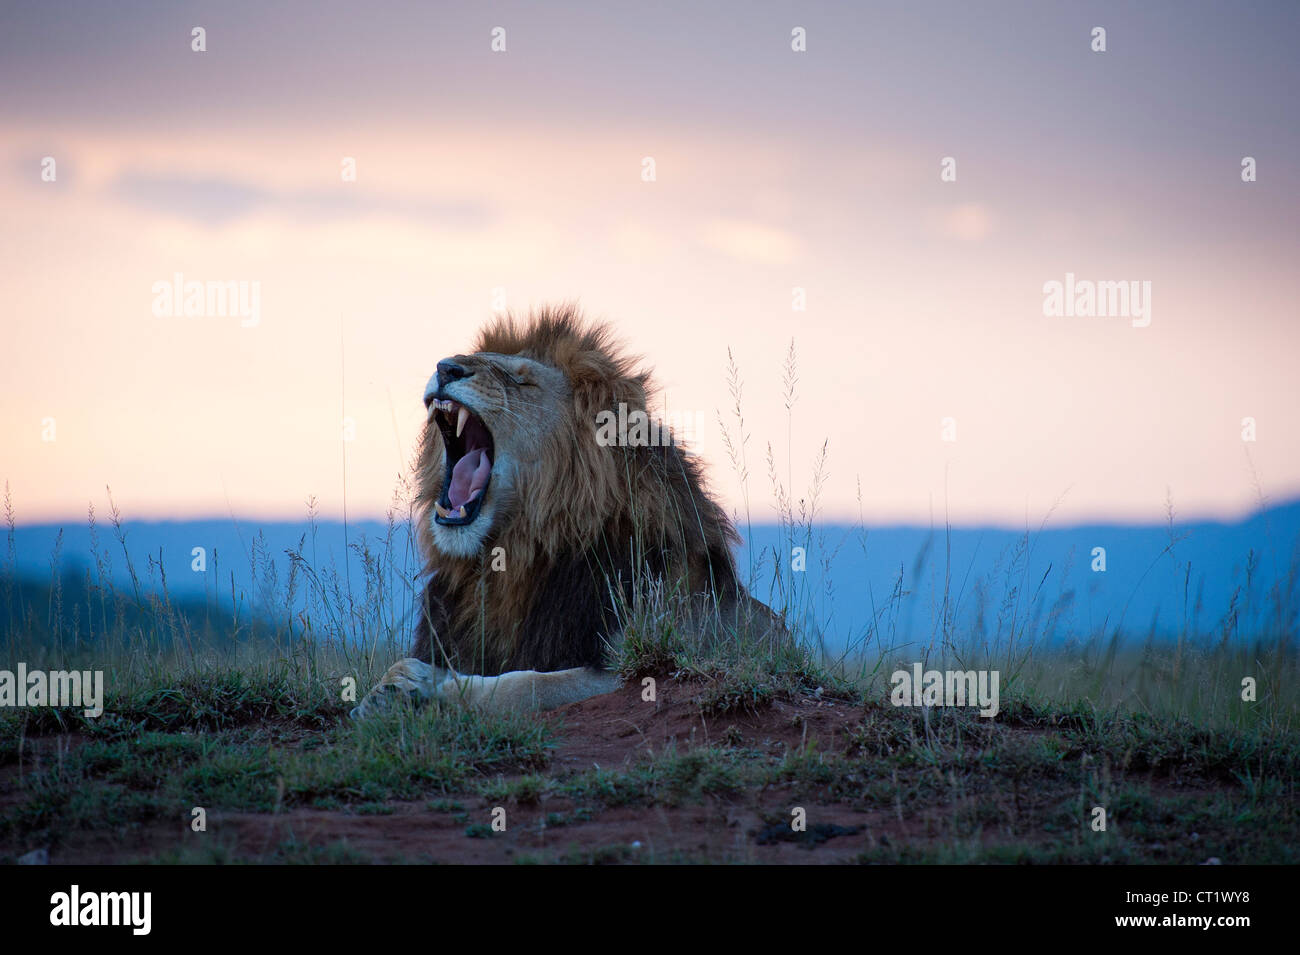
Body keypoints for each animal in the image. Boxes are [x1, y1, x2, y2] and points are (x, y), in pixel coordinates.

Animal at [351, 306, 785, 717]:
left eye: (521, 381)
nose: (445, 368)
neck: (515, 557)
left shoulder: (643, 662)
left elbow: (527, 685)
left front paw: (427, 691)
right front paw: (388, 688)